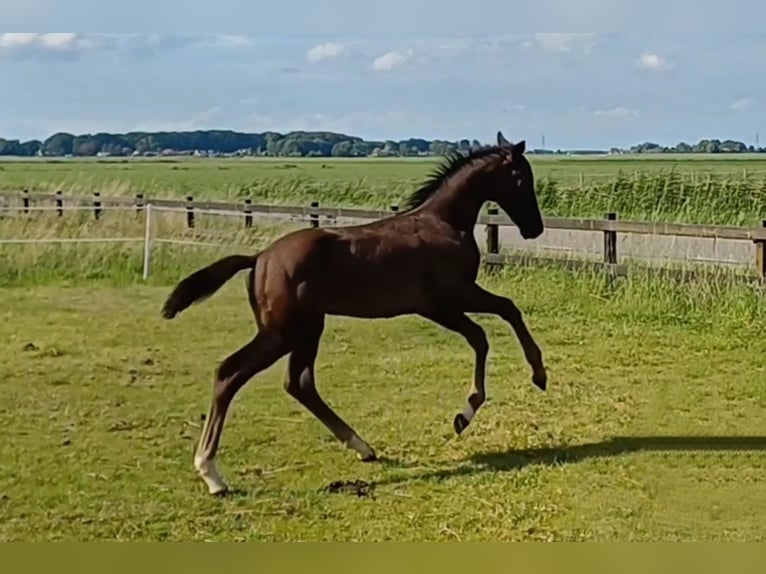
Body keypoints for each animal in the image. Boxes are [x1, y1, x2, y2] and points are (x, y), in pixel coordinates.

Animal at [164, 130, 544, 496]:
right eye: (522, 178)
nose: (535, 228)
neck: (443, 223)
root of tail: (258, 259)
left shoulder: (449, 302)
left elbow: (505, 313)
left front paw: (531, 378)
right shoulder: (446, 302)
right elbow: (488, 330)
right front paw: (476, 407)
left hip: (307, 329)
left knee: (298, 383)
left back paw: (362, 447)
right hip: (283, 332)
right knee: (231, 373)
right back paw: (211, 474)